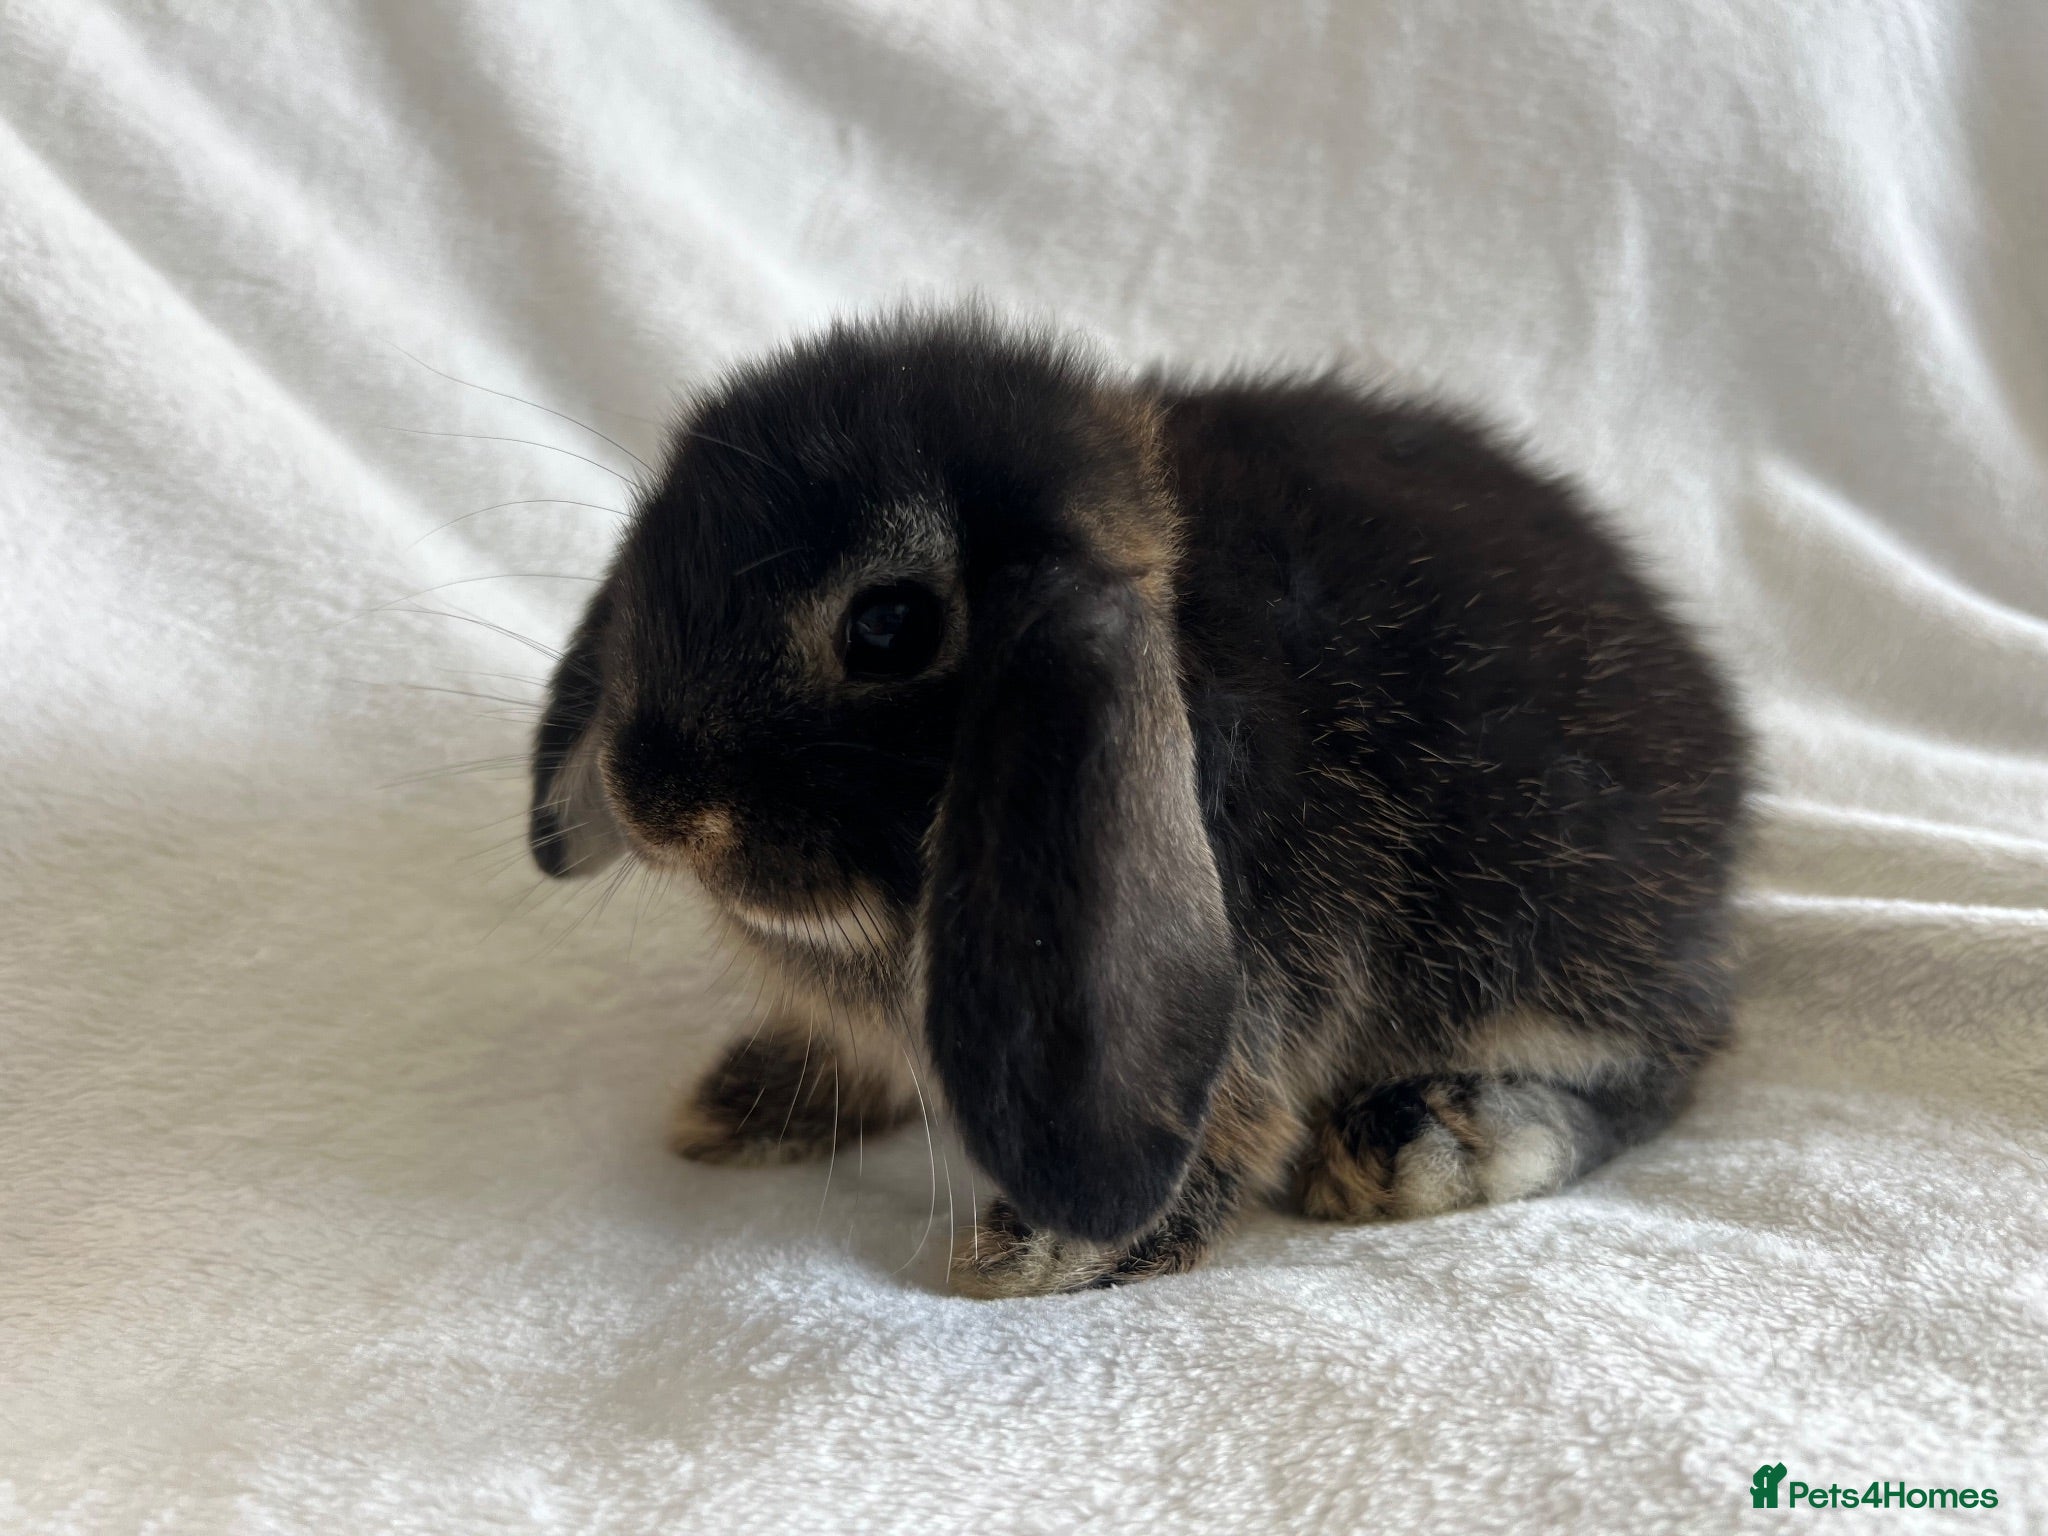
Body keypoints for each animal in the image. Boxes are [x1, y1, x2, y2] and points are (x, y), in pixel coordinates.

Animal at [528, 311, 1749, 1297]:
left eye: (887, 627)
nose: (651, 804)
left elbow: (1223, 1124)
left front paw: (1046, 1255)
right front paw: (741, 1104)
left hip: (1543, 936)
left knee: (1657, 1072)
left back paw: (1432, 1145)